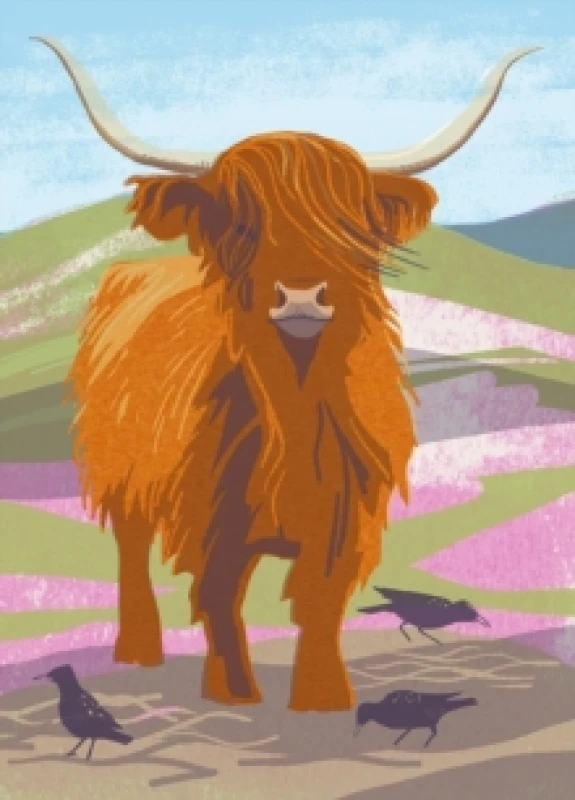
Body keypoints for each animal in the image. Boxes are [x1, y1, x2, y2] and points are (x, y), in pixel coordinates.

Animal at [34, 37, 539, 711]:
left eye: (351, 229)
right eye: (241, 223)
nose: (301, 296)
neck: (294, 413)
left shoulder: (346, 515)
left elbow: (320, 603)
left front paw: (323, 699)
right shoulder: (210, 515)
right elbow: (219, 598)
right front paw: (233, 693)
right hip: (122, 470)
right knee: (132, 552)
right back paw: (138, 651)